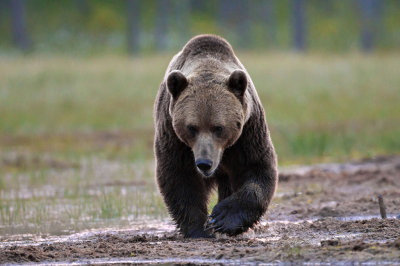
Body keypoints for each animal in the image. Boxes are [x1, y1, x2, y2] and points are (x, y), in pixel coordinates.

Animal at [154, 34, 278, 238]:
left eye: (218, 127)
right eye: (192, 127)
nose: (204, 163)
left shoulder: (248, 133)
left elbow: (257, 169)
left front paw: (222, 218)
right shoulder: (173, 136)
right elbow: (179, 176)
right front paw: (199, 228)